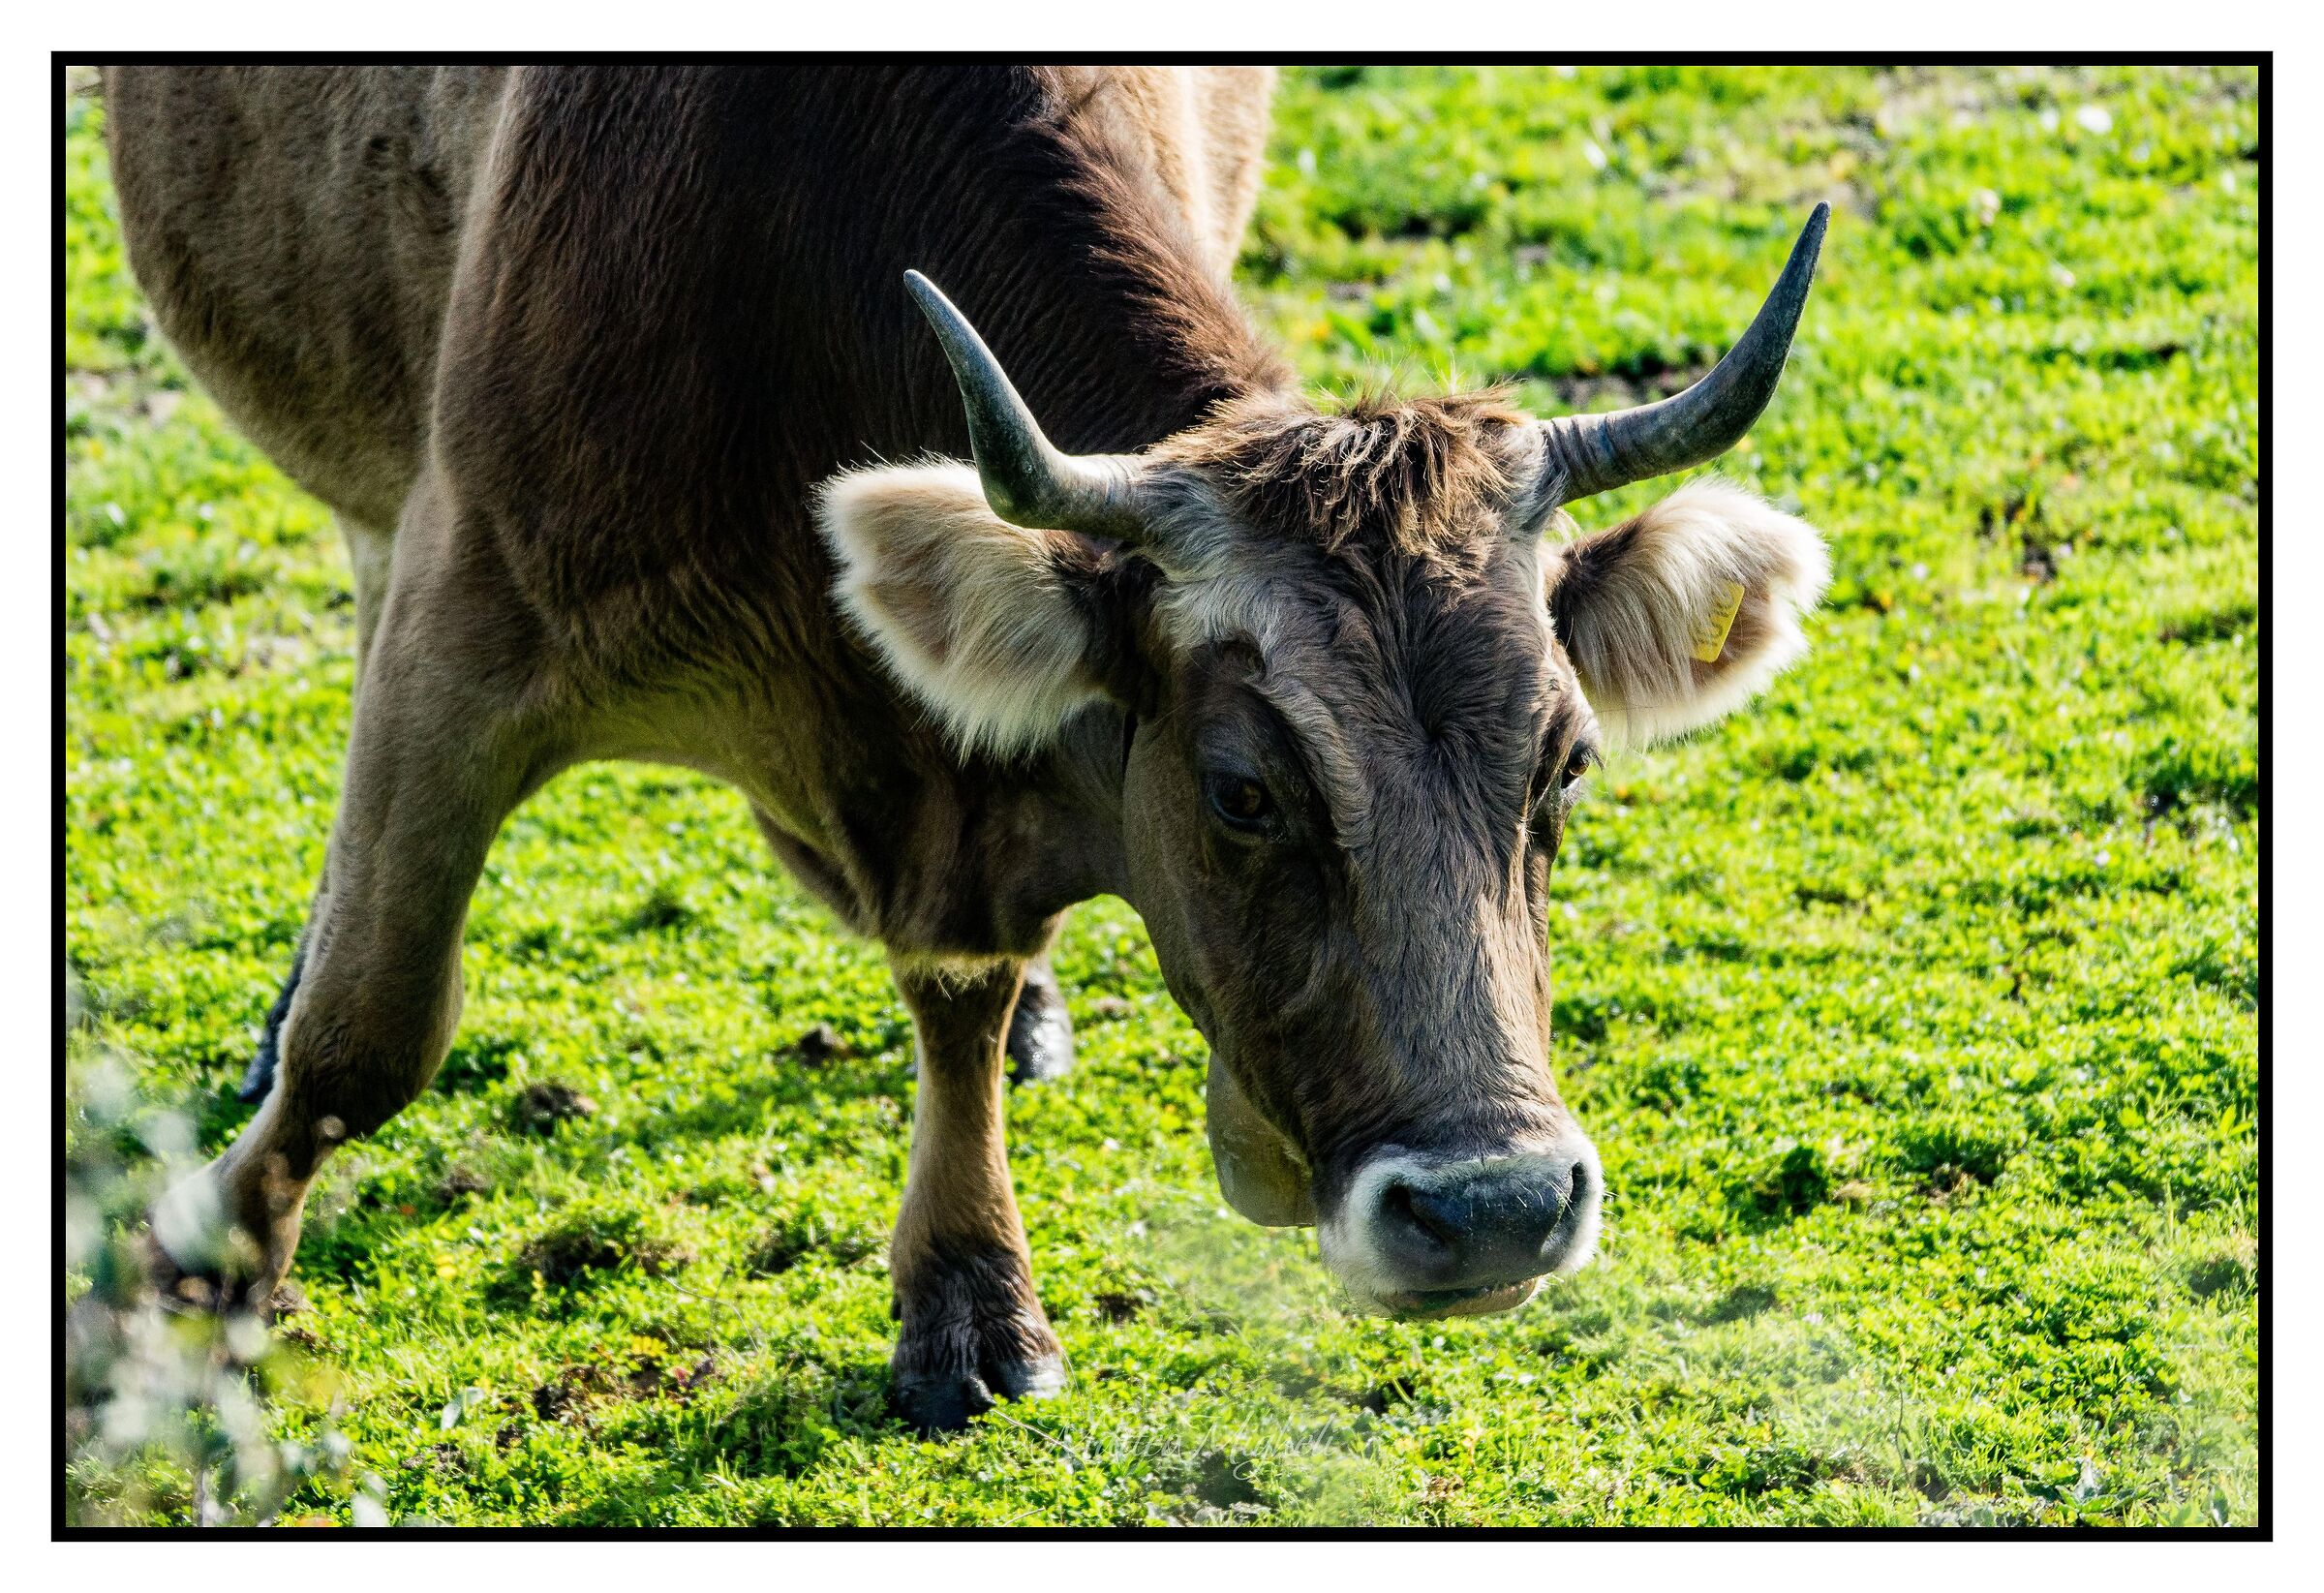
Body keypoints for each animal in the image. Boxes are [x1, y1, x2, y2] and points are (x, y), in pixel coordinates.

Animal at [103, 65, 1830, 1431]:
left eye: (1565, 767)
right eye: (1243, 791)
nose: (1496, 1212)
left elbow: (963, 996)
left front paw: (968, 1290)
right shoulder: (465, 625)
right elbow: (372, 1026)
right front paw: (208, 1274)